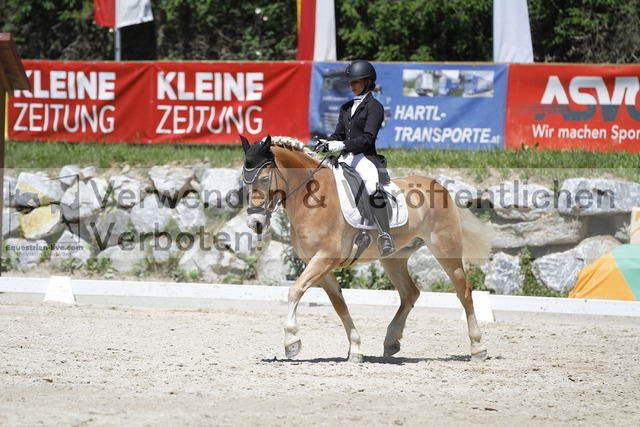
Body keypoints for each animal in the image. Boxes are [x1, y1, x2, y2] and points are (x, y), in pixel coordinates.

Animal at [240, 135, 493, 362]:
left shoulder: (324, 259)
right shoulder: (319, 264)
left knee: (463, 291)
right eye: (245, 180)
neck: (311, 198)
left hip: (445, 248)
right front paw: (355, 349)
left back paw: (478, 348)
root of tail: (439, 185)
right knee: (410, 293)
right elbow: (339, 305)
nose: (255, 224)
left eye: (265, 179)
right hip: (393, 258)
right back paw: (391, 341)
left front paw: (292, 342)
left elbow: (295, 290)